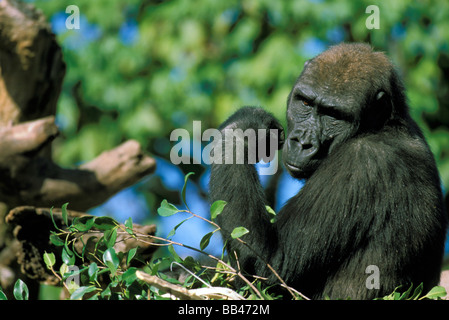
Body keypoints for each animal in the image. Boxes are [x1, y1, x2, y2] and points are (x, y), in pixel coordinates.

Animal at [210, 43, 448, 300]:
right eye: (305, 103)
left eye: (333, 116)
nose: (302, 142)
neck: (384, 124)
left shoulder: (362, 160)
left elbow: (268, 262)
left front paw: (244, 127)